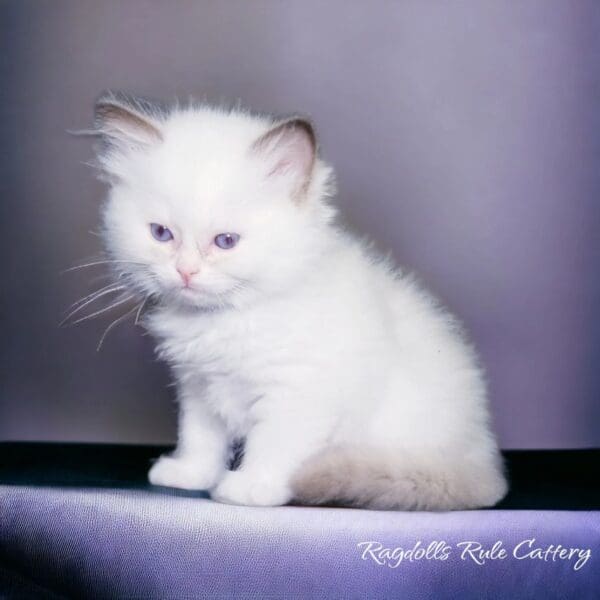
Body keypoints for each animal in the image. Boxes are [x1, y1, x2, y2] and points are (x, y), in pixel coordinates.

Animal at [88, 91, 506, 508]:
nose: (186, 271)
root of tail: (483, 464)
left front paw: (250, 487)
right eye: (161, 234)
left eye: (226, 241)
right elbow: (200, 438)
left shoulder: (298, 390)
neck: (225, 320)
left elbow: (273, 445)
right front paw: (189, 474)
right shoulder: (198, 387)